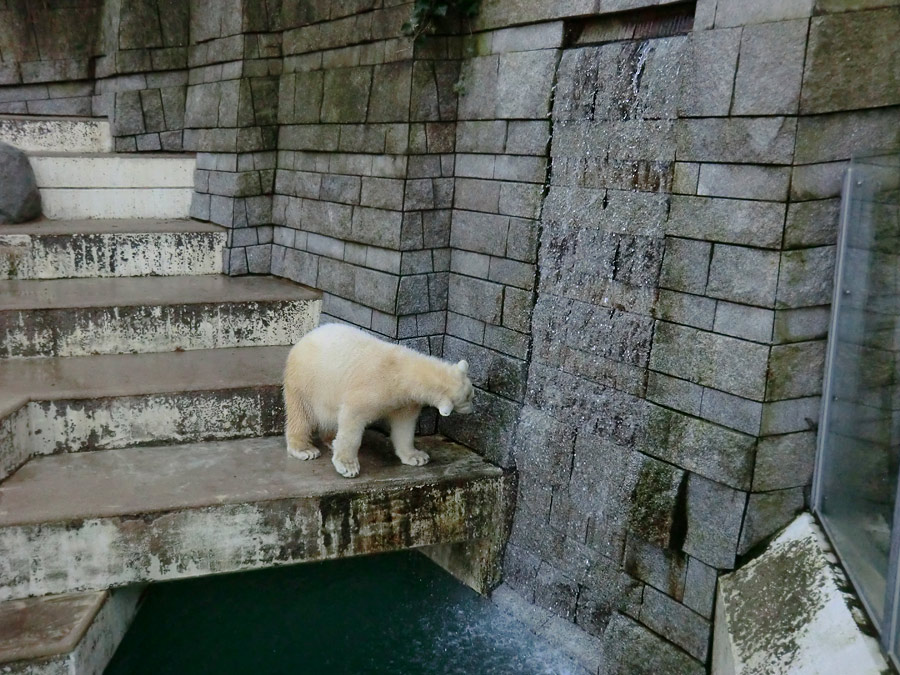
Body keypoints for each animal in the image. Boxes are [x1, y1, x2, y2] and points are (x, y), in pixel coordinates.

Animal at [283, 323, 474, 478]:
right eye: (468, 399)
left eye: (471, 394)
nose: (472, 409)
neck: (402, 372)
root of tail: (305, 337)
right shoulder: (373, 388)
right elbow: (352, 417)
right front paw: (348, 466)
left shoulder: (404, 401)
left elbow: (404, 426)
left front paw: (417, 457)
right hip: (306, 381)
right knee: (302, 415)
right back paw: (304, 449)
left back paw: (331, 440)